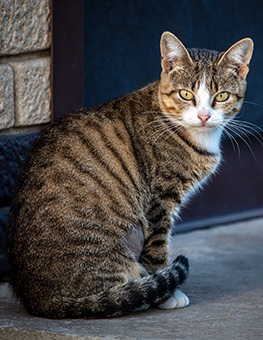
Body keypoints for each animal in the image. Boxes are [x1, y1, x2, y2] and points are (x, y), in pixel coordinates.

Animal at [5, 31, 254, 318]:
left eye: (222, 96)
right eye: (185, 94)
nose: (204, 116)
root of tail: (37, 298)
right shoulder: (158, 201)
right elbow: (158, 248)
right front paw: (167, 295)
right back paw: (136, 292)